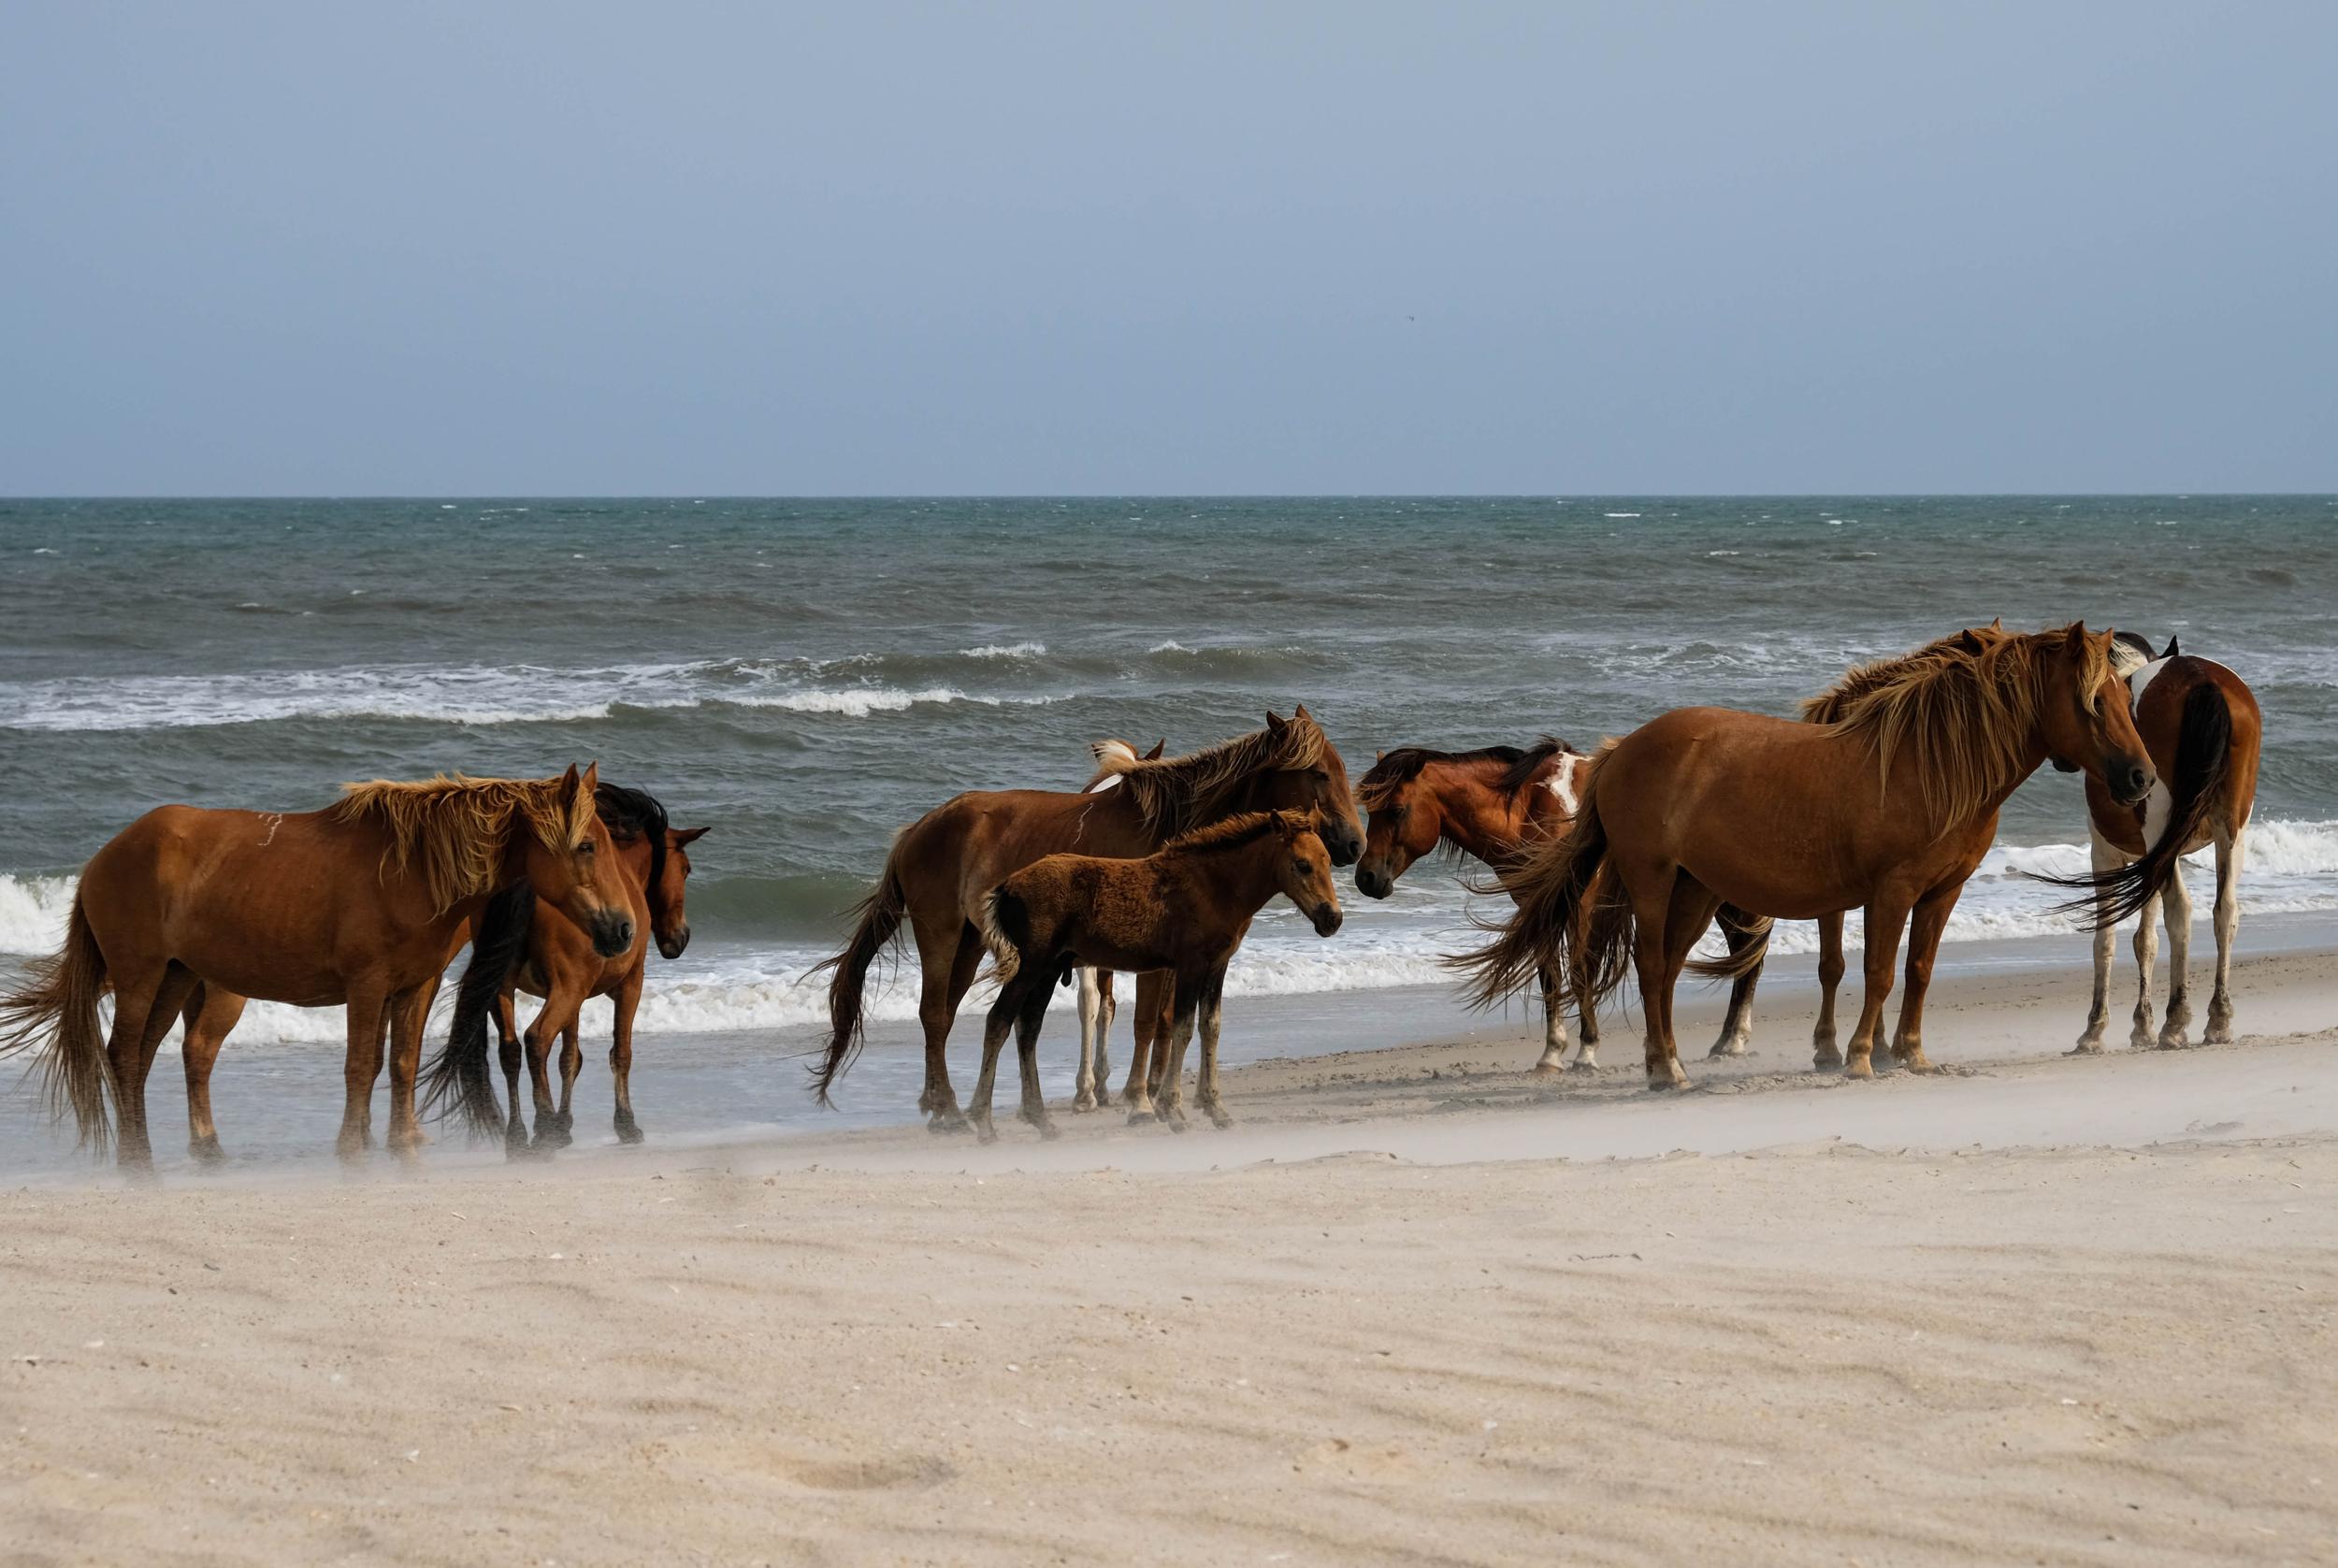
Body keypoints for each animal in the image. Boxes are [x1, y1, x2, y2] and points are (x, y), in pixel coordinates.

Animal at [0, 766, 631, 1172]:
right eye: (586, 846)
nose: (624, 930)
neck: (411, 870)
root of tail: (104, 857)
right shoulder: (367, 985)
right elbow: (359, 1067)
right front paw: (352, 1147)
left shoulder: (413, 987)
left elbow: (399, 1064)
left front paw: (401, 1143)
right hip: (142, 976)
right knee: (125, 1055)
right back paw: (137, 1157)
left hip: (176, 977)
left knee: (148, 1056)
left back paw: (192, 1149)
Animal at [968, 808, 1347, 1140]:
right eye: (1302, 865)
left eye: (1328, 862)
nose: (1332, 918)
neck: (1215, 886)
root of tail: (1007, 887)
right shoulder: (1191, 964)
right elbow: (1183, 1028)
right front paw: (1173, 1110)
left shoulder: (1218, 965)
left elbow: (1211, 1027)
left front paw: (1216, 1109)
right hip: (1030, 966)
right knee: (998, 1021)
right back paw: (984, 1124)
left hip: (1047, 971)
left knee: (1027, 1029)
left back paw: (1042, 1121)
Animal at [1356, 742, 1768, 1074]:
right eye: (1370, 811)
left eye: (1395, 810)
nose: (1366, 878)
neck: (1532, 809)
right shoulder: (1540, 906)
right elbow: (1550, 977)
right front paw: (1551, 1053)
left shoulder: (1581, 905)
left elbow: (1580, 973)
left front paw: (1587, 1052)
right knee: (1744, 956)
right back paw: (1726, 1041)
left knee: (1749, 958)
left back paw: (1734, 1041)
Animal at [1459, 626, 2151, 1093]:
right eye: (2093, 702)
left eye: (2126, 698)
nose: (2141, 778)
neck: (1929, 764)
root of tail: (1619, 750)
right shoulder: (1890, 891)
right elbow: (1877, 972)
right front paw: (1861, 1055)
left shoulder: (1941, 892)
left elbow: (1919, 970)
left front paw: (1912, 1052)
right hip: (1654, 882)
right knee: (1653, 969)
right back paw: (1664, 1070)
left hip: (1694, 889)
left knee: (1668, 972)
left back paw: (1673, 1061)